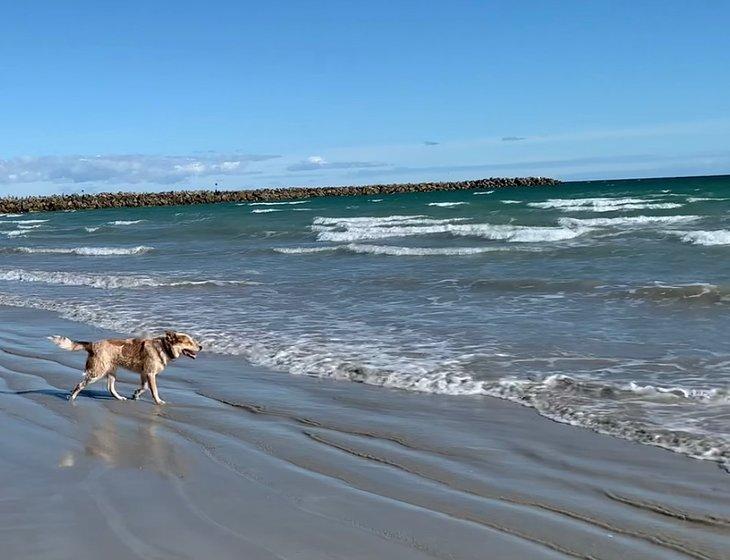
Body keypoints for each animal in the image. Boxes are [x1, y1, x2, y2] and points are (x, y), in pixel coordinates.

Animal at [49, 330, 202, 404]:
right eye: (189, 342)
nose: (200, 347)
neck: (164, 347)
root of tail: (92, 344)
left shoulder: (144, 373)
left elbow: (144, 387)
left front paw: (136, 394)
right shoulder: (150, 373)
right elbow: (154, 390)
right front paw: (158, 401)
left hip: (111, 371)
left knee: (110, 388)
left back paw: (119, 398)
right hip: (97, 372)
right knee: (80, 385)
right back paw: (72, 397)